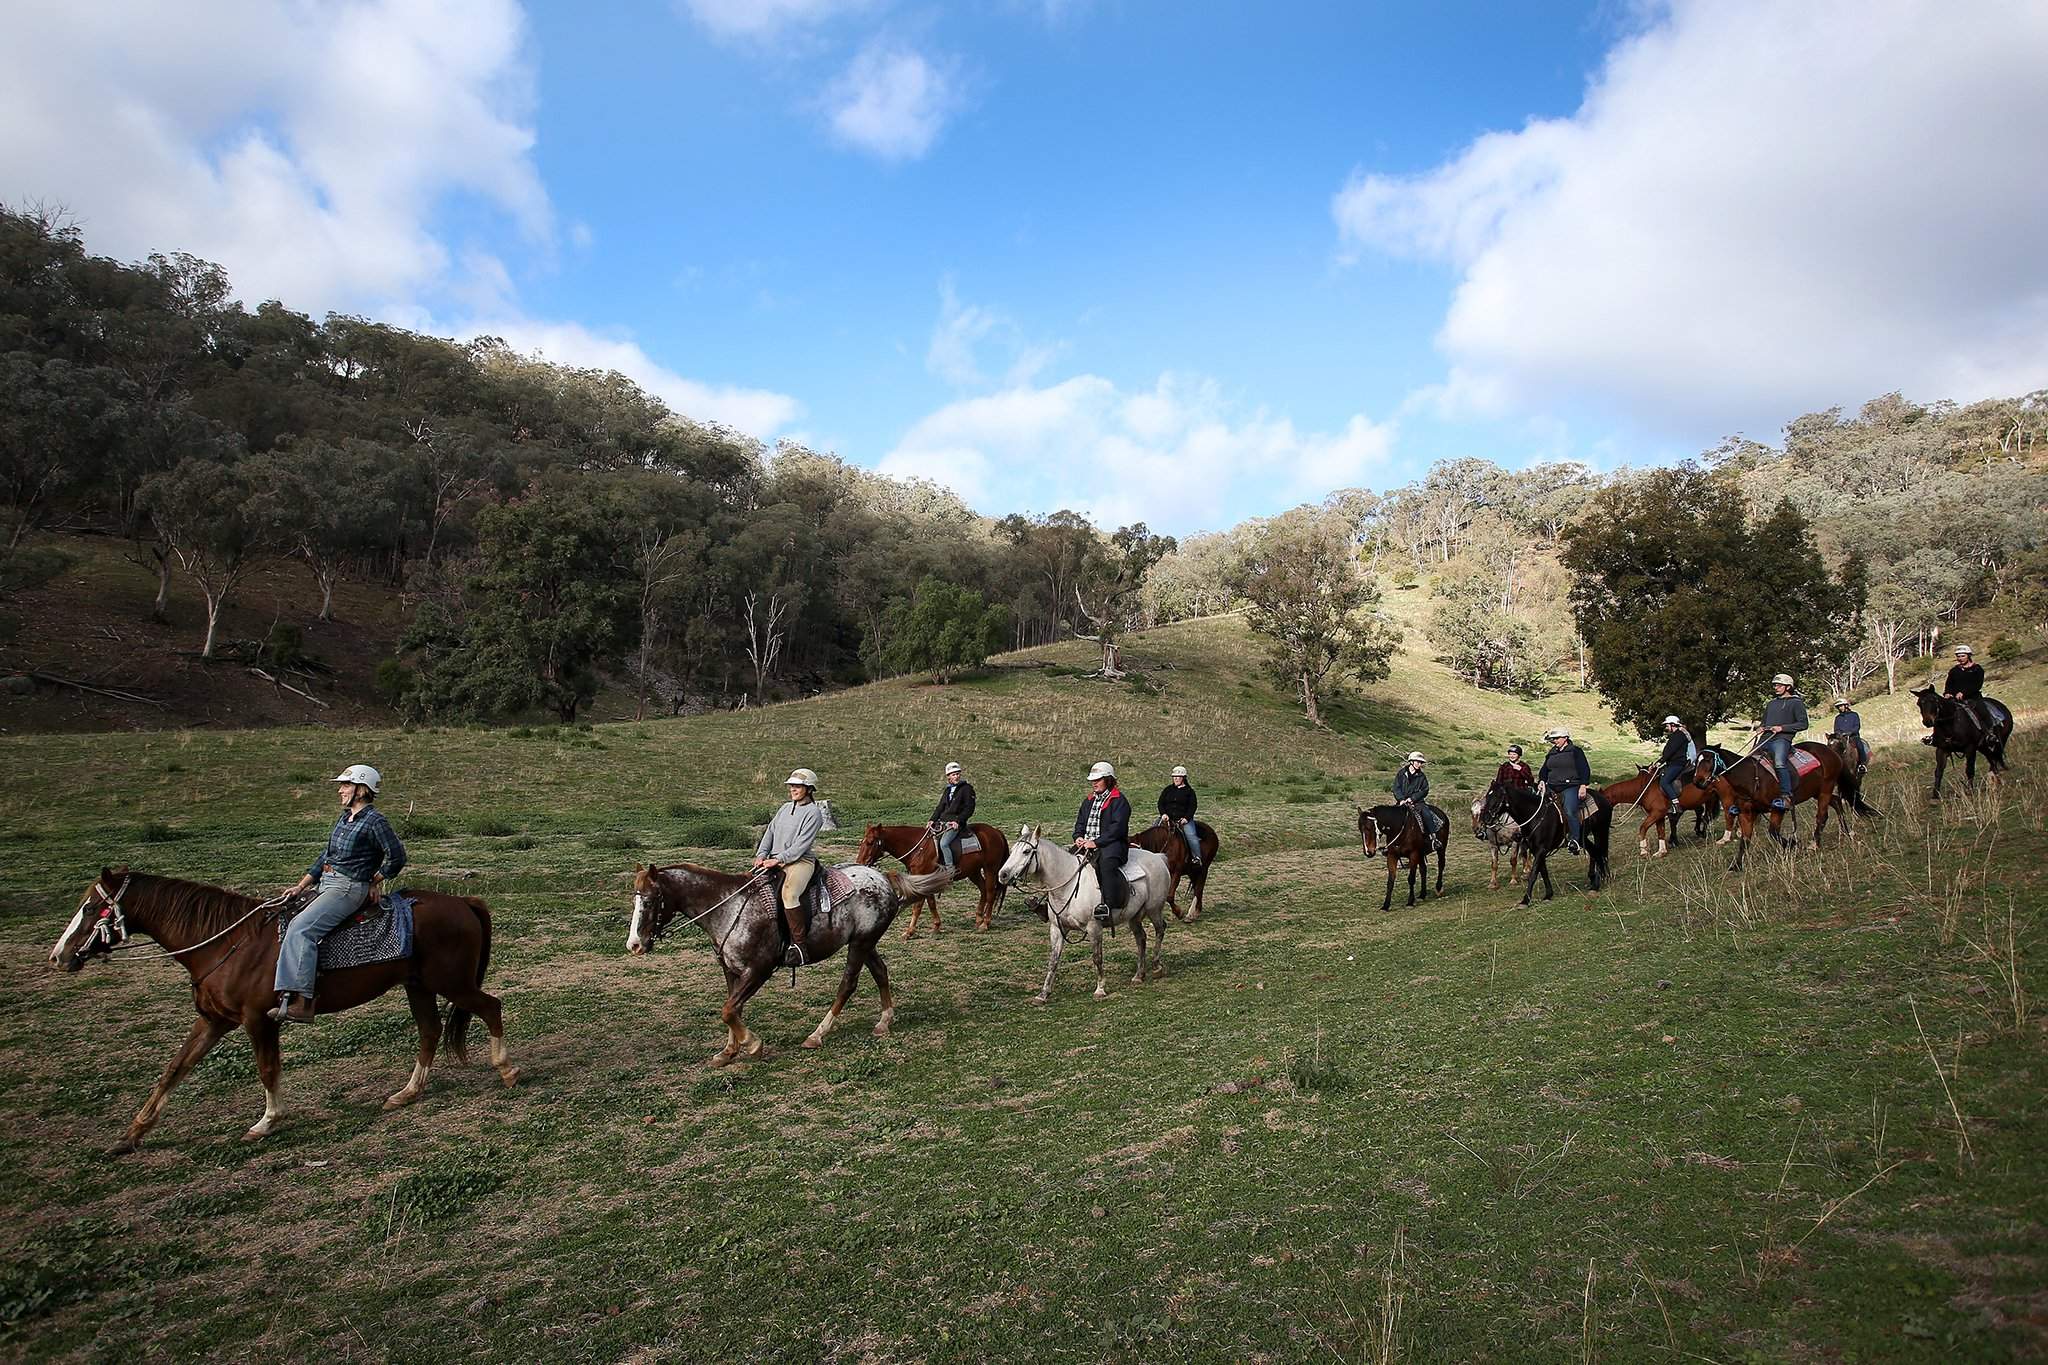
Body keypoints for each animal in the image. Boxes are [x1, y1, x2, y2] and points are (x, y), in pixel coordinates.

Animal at [48, 863, 516, 1154]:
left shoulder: (259, 1020)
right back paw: (407, 1093)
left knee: (491, 1007)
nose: (58, 956)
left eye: (90, 907)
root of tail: (464, 902)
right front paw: (132, 1134)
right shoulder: (212, 1020)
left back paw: (506, 1070)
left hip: (452, 984)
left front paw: (267, 1121)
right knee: (430, 1031)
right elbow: (175, 1069)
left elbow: (267, 1069)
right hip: (418, 986)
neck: (225, 943)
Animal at [622, 863, 950, 1064]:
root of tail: (882, 878)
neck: (729, 907)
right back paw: (884, 1021)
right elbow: (732, 1008)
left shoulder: (759, 970)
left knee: (848, 984)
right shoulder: (731, 970)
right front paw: (729, 1051)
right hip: (865, 943)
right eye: (635, 900)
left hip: (860, 944)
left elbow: (729, 1010)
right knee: (880, 972)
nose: (634, 944)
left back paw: (817, 1035)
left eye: (649, 901)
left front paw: (752, 1044)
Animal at [851, 822, 1011, 941]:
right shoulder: (927, 880)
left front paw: (909, 932)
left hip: (990, 869)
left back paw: (985, 923)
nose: (860, 863)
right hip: (974, 872)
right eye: (862, 842)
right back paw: (978, 918)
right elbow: (931, 903)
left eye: (871, 842)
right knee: (983, 890)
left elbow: (918, 906)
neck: (918, 848)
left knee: (990, 893)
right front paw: (936, 926)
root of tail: (996, 832)